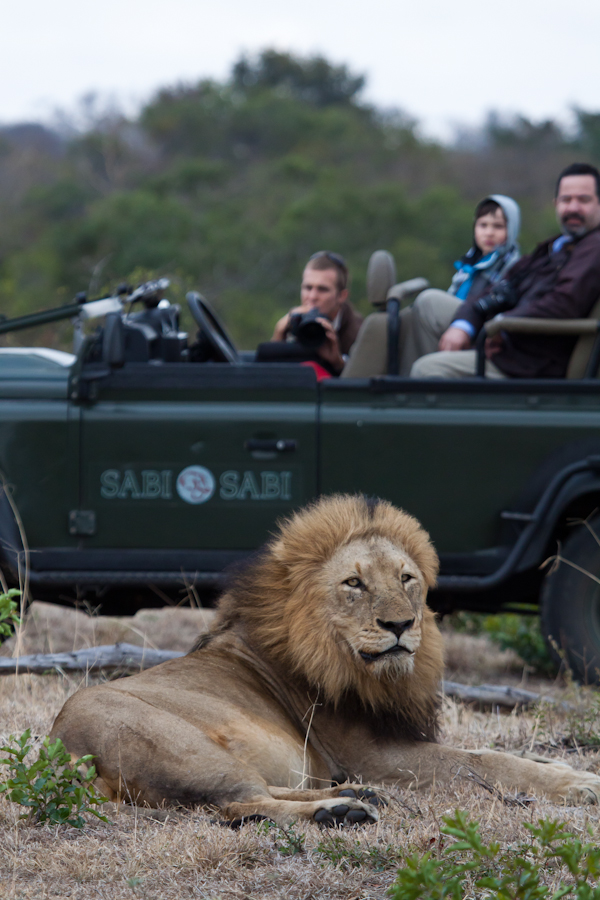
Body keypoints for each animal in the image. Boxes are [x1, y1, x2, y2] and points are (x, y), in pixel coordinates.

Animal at [50, 495, 600, 825]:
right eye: (353, 583)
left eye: (406, 578)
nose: (400, 625)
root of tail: (60, 750)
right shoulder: (375, 755)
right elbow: (486, 761)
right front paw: (580, 784)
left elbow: (504, 753)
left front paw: (565, 766)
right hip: (190, 751)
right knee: (238, 802)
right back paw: (338, 810)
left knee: (264, 792)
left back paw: (360, 797)